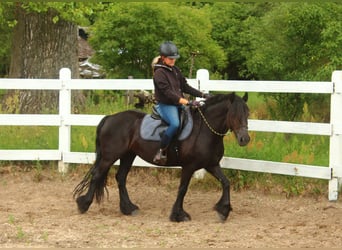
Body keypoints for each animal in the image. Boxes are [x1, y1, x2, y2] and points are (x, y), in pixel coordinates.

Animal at [73, 93, 250, 222]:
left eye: (247, 113)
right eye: (234, 114)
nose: (245, 139)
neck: (205, 130)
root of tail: (109, 118)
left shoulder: (211, 165)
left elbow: (226, 183)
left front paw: (224, 210)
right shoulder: (189, 166)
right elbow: (182, 189)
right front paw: (178, 215)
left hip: (128, 155)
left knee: (120, 177)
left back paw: (128, 208)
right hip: (110, 156)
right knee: (97, 176)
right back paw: (83, 205)